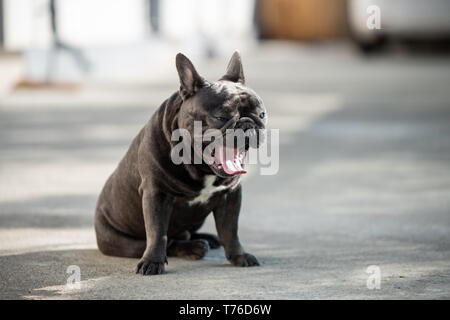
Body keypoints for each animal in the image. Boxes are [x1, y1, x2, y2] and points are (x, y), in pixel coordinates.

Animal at [93, 52, 266, 276]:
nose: (247, 123)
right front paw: (152, 262)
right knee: (170, 242)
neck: (198, 166)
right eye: (220, 117)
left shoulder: (230, 195)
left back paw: (208, 239)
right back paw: (194, 248)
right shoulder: (156, 194)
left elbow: (230, 230)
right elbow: (158, 232)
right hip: (120, 241)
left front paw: (239, 256)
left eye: (262, 115)